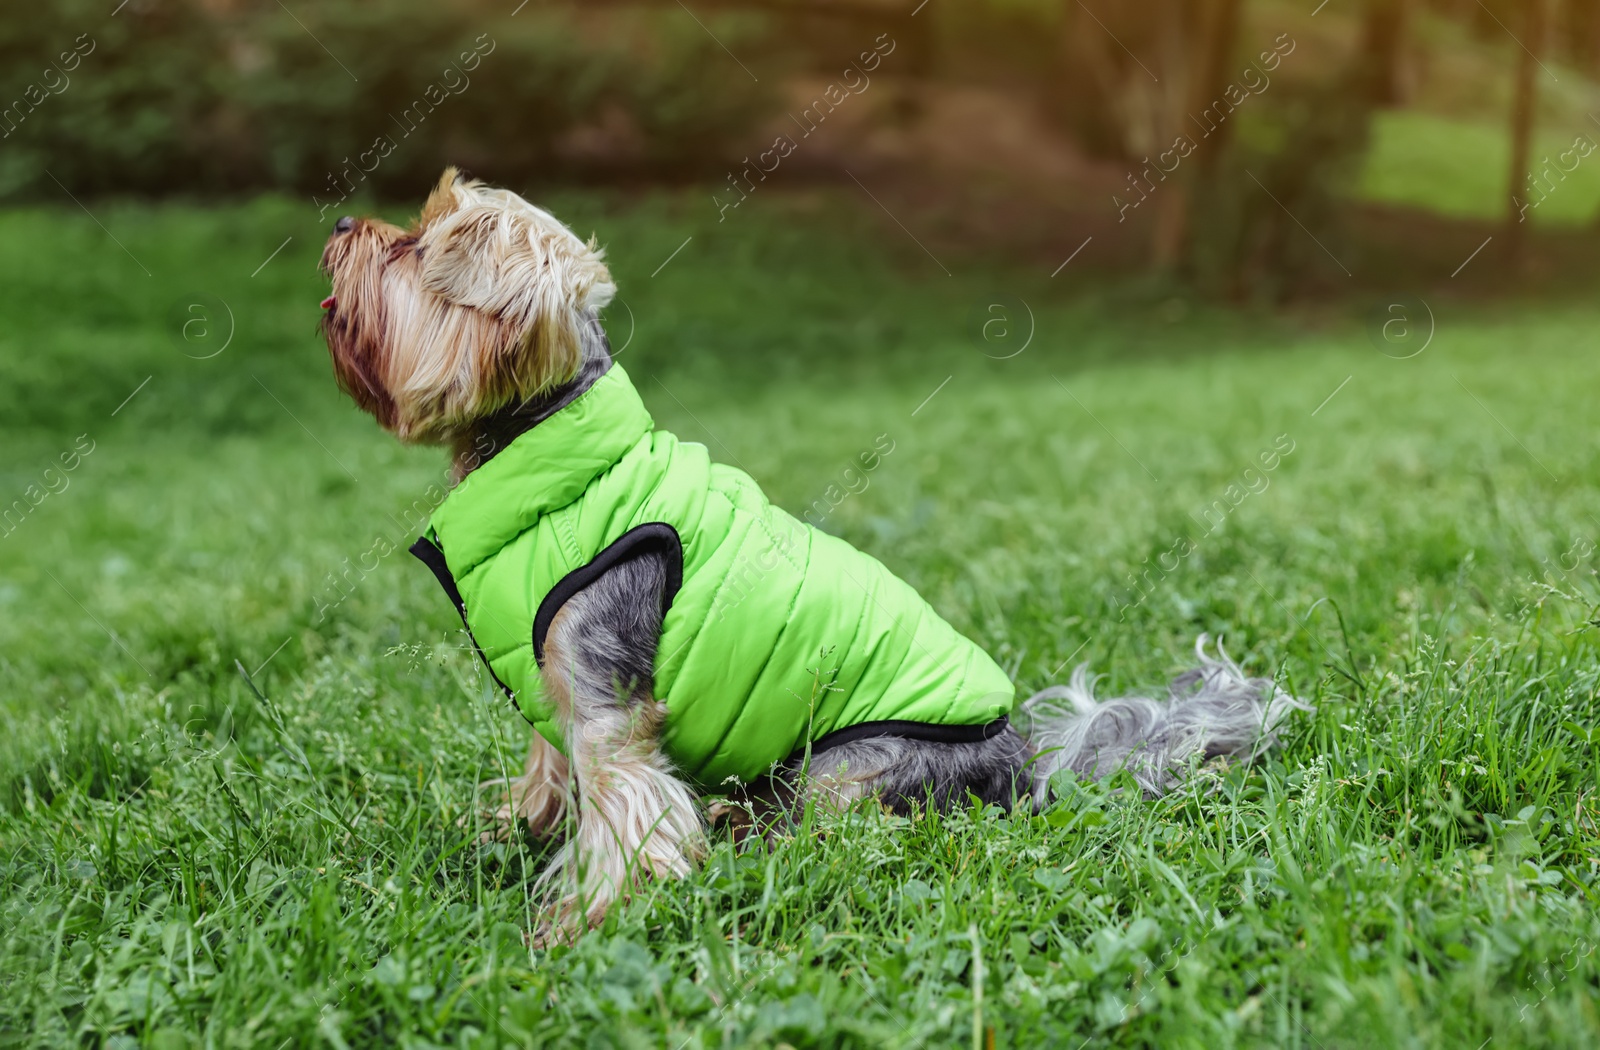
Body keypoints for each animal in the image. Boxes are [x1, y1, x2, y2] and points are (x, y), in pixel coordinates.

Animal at [318, 170, 1305, 934]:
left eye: (412, 246)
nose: (339, 224)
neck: (547, 450)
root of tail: (1025, 767)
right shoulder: (550, 682)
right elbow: (550, 775)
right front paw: (513, 832)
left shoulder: (608, 702)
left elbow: (623, 812)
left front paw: (577, 927)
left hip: (849, 768)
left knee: (844, 825)